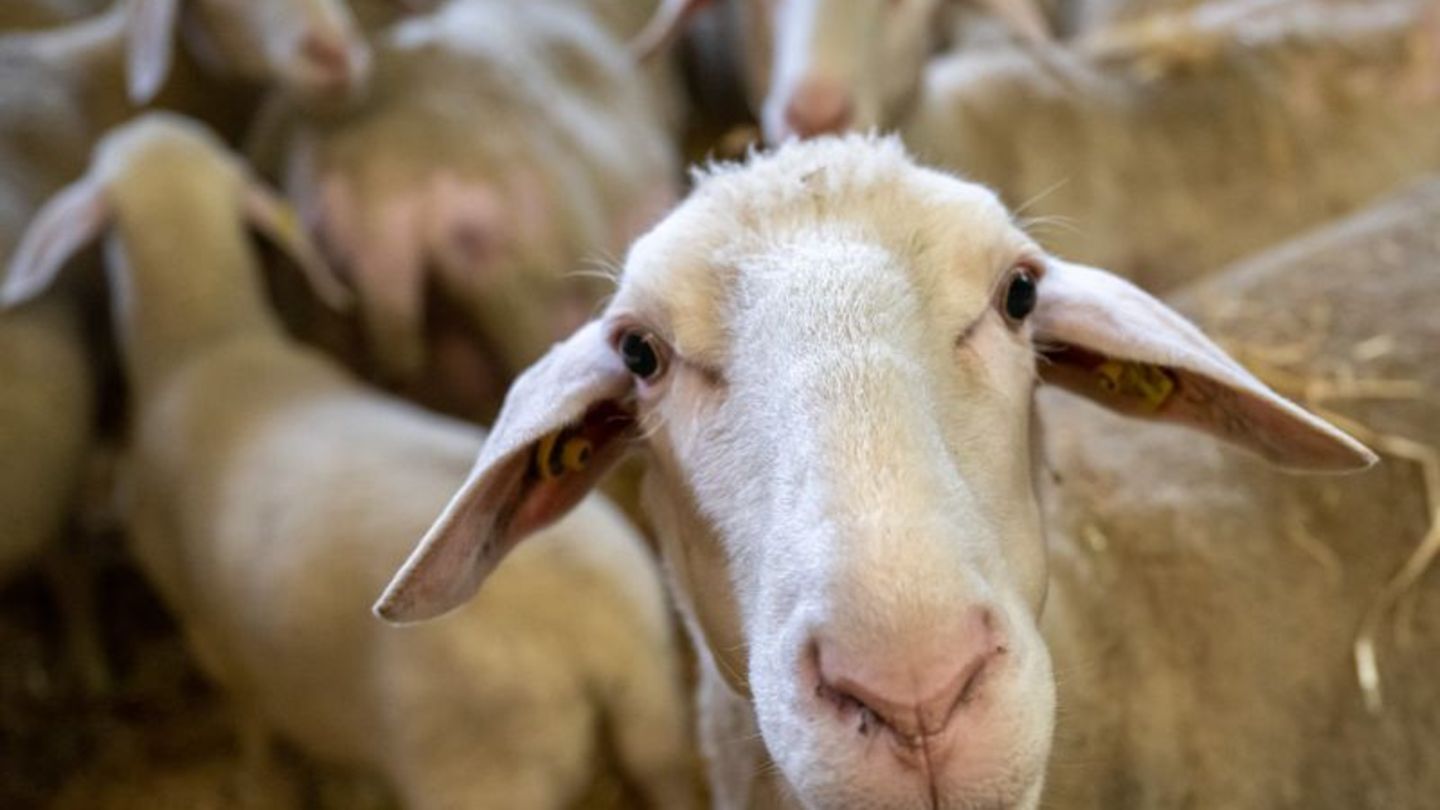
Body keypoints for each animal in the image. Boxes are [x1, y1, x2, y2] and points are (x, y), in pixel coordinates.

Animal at [0, 111, 696, 807]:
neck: (207, 344)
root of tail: (599, 634)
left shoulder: (209, 633)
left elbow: (252, 720)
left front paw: (255, 780)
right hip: (658, 725)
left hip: (480, 771)